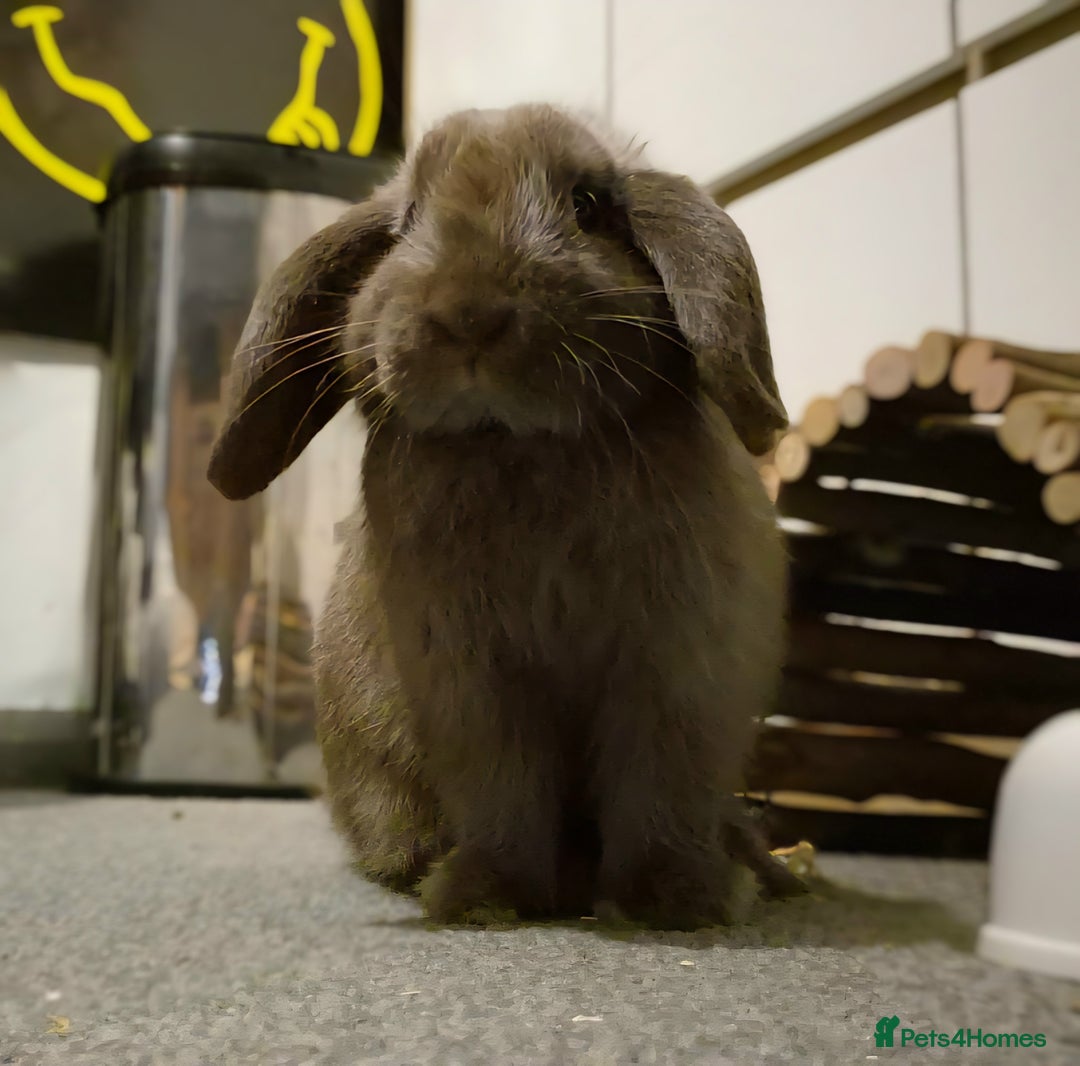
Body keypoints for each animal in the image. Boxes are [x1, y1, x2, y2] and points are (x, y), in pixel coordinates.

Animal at [207, 103, 804, 929]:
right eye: (406, 222)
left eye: (587, 205)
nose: (469, 316)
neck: (518, 446)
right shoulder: (467, 678)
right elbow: (501, 783)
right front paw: (486, 897)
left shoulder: (675, 669)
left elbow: (658, 784)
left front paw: (678, 899)